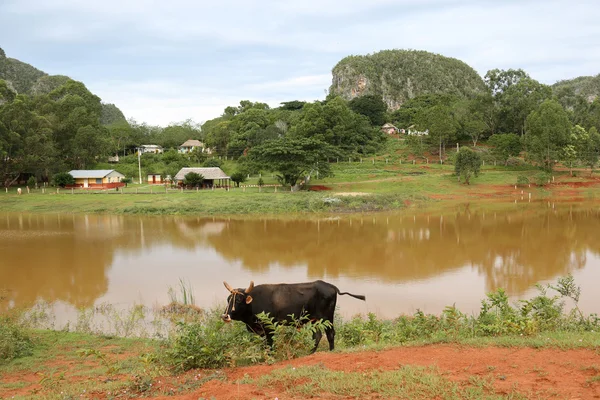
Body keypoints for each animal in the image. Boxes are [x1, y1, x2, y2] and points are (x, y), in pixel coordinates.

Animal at [218, 280, 364, 352]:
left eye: (238, 300)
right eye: (228, 299)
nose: (225, 316)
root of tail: (332, 287)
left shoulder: (269, 327)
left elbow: (270, 344)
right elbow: (265, 344)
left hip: (327, 317)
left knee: (330, 333)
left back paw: (331, 351)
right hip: (314, 319)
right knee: (317, 335)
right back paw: (310, 352)